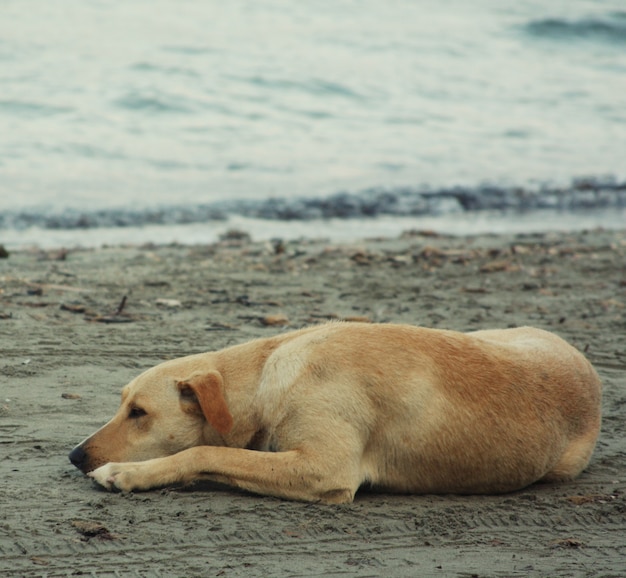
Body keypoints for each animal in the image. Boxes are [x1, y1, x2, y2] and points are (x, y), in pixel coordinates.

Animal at [68, 322, 600, 502]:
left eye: (138, 412)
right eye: (122, 404)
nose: (74, 455)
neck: (268, 377)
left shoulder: (324, 468)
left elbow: (204, 453)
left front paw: (127, 473)